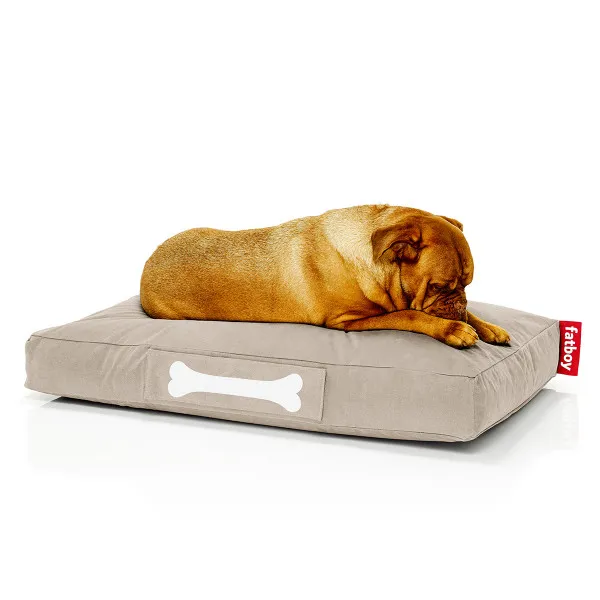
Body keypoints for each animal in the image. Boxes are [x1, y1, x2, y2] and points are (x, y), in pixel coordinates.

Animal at [140, 205, 510, 348]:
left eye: (467, 284)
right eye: (437, 286)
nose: (458, 304)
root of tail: (147, 262)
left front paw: (487, 325)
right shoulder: (349, 320)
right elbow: (409, 314)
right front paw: (452, 329)